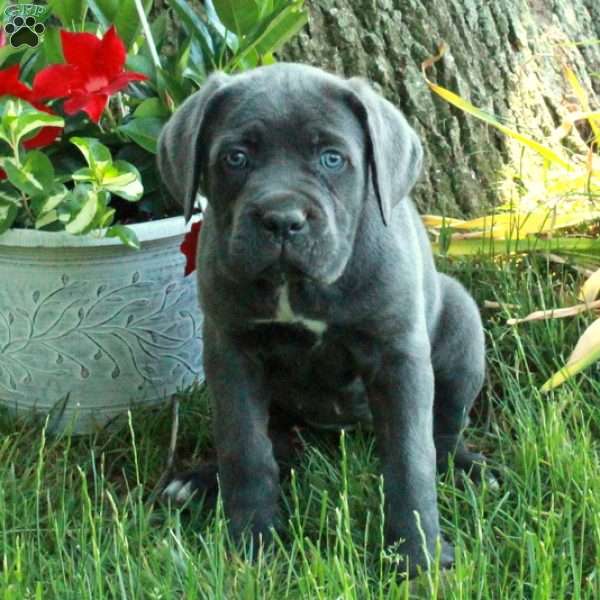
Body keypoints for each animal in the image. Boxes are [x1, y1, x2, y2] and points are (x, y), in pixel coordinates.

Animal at [157, 63, 486, 580]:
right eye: (235, 158)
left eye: (333, 159)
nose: (282, 220)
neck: (294, 286)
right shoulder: (232, 352)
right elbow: (245, 449)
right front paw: (252, 544)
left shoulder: (397, 358)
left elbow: (411, 458)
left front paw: (417, 556)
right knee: (275, 444)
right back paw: (199, 482)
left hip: (462, 326)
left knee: (445, 430)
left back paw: (468, 468)